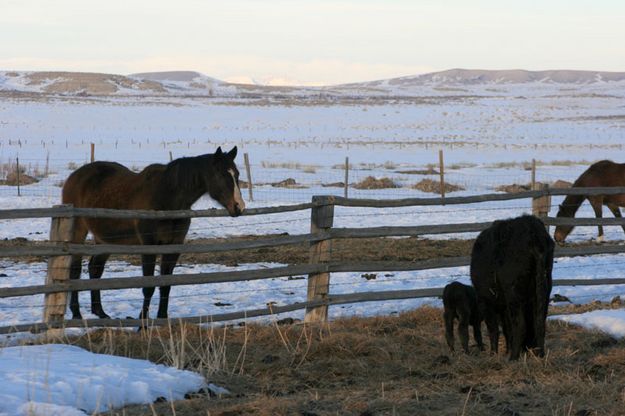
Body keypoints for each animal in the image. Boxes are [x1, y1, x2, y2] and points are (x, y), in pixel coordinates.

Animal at [61, 148, 245, 320]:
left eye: (236, 174)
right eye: (220, 174)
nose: (239, 207)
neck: (167, 198)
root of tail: (74, 176)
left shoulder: (173, 245)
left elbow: (165, 284)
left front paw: (162, 317)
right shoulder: (149, 245)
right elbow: (148, 286)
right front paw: (143, 322)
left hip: (106, 240)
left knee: (95, 268)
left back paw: (100, 312)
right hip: (78, 232)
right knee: (75, 270)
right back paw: (76, 313)